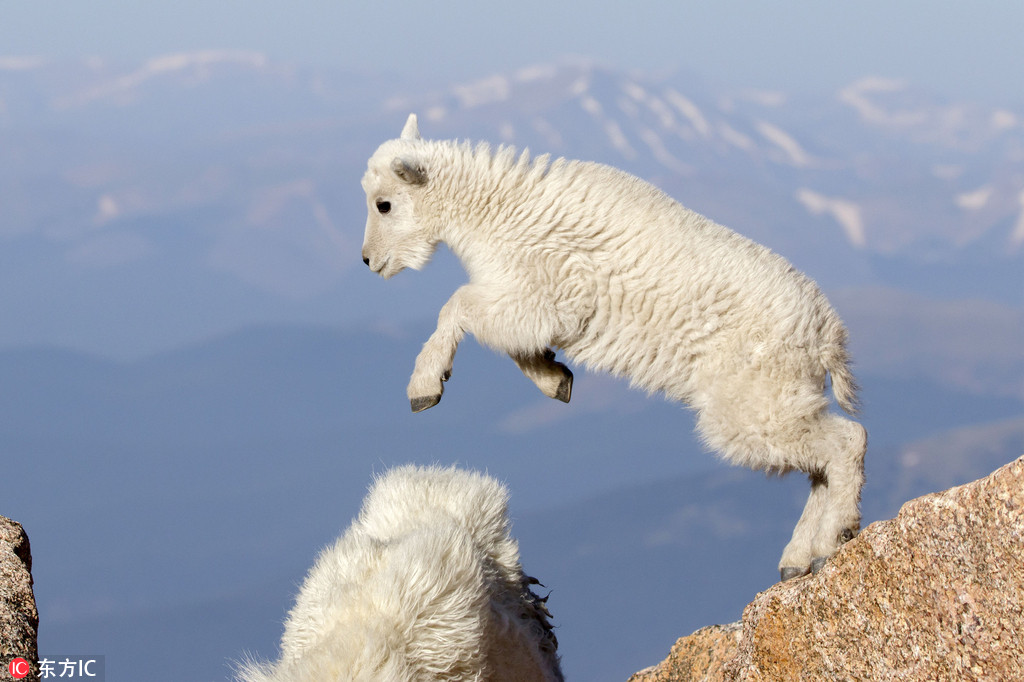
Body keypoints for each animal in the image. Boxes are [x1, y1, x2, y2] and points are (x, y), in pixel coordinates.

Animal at [360, 114, 864, 577]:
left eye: (384, 204)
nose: (368, 261)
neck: (494, 212)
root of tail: (826, 336)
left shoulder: (542, 292)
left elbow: (459, 305)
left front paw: (425, 386)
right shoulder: (535, 304)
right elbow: (515, 339)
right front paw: (555, 379)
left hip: (751, 400)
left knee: (845, 441)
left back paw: (834, 536)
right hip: (780, 396)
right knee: (819, 461)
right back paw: (799, 558)